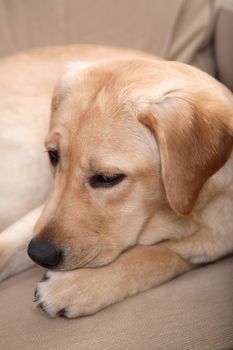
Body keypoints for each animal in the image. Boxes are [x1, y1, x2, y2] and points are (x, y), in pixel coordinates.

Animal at [0, 45, 232, 318]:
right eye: (53, 156)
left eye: (108, 178)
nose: (39, 254)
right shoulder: (46, 205)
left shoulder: (215, 238)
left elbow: (157, 255)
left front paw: (77, 285)